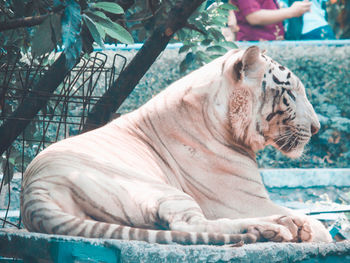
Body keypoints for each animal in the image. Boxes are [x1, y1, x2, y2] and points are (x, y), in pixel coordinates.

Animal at [20, 47, 332, 245]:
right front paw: (312, 229)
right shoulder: (244, 200)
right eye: (290, 92)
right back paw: (278, 227)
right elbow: (322, 228)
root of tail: (33, 192)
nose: (317, 127)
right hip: (159, 189)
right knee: (189, 224)